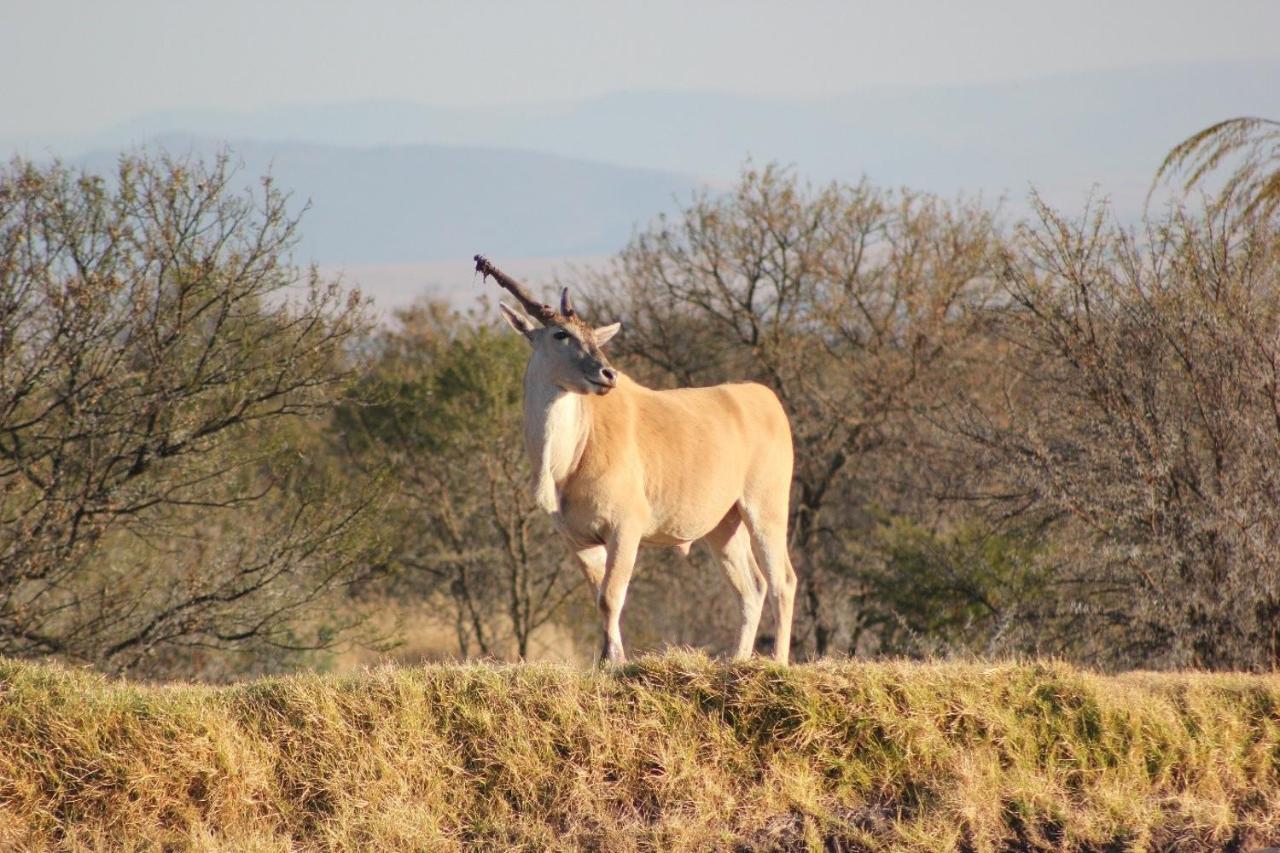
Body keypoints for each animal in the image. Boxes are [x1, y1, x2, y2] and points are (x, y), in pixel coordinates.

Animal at [478, 253, 793, 666]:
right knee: (751, 587)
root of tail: (765, 399)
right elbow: (599, 597)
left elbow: (612, 597)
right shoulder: (579, 540)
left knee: (782, 581)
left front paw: (615, 662)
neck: (569, 457)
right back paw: (737, 660)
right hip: (724, 525)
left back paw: (778, 662)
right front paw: (606, 660)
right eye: (561, 334)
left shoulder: (625, 529)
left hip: (765, 510)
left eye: (594, 336)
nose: (607, 374)